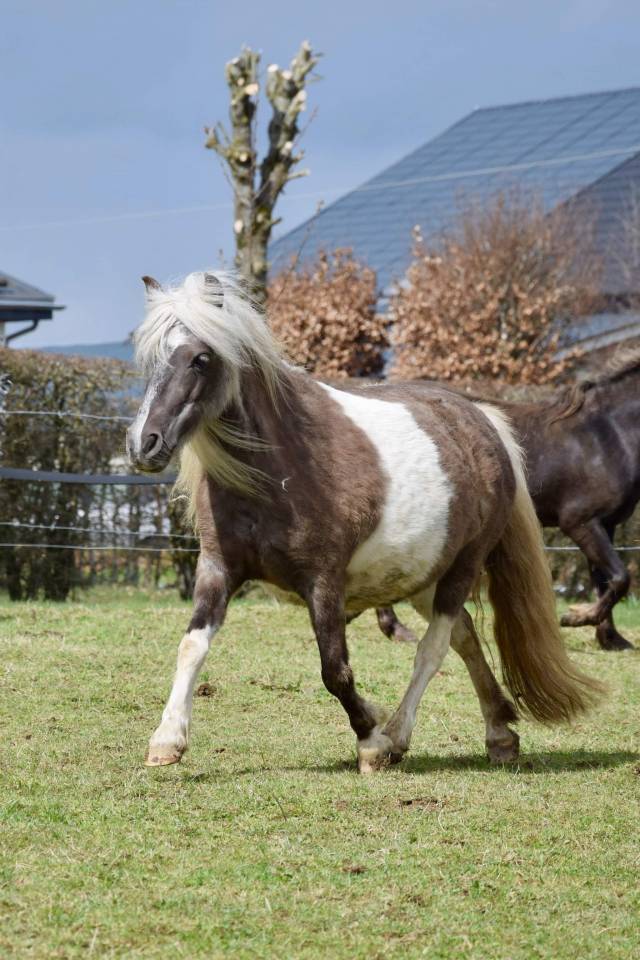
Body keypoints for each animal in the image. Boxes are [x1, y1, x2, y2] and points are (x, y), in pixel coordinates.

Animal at [127, 271, 601, 773]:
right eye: (149, 359)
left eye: (200, 359)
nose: (144, 444)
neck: (277, 469)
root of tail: (484, 421)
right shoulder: (218, 569)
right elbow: (191, 646)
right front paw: (167, 740)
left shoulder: (323, 581)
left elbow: (335, 670)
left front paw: (370, 739)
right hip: (424, 576)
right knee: (465, 636)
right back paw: (500, 734)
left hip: (463, 567)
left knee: (433, 647)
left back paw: (397, 736)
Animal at [379, 354, 640, 651]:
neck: (608, 436)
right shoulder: (581, 522)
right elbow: (620, 578)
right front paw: (576, 618)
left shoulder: (605, 525)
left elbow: (605, 581)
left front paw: (610, 638)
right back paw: (397, 628)